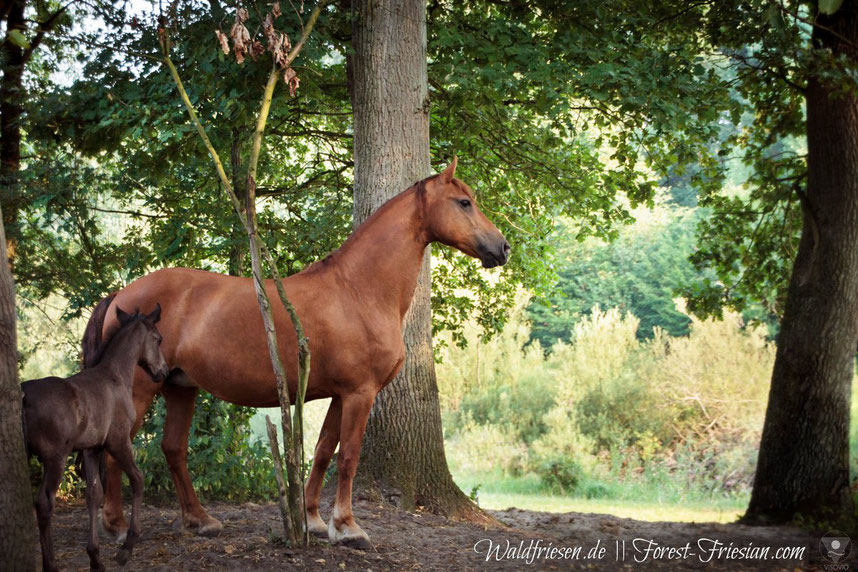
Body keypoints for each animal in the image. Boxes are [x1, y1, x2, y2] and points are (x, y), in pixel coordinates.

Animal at [22, 306, 168, 572]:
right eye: (158, 339)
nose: (163, 371)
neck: (115, 376)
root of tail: (24, 395)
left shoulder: (92, 449)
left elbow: (94, 494)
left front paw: (95, 558)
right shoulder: (119, 442)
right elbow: (137, 479)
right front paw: (126, 548)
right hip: (55, 458)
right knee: (45, 503)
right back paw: (51, 564)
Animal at [83, 159, 504, 548]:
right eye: (464, 202)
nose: (502, 247)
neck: (358, 290)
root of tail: (120, 296)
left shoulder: (340, 394)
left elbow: (322, 451)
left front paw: (314, 520)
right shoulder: (360, 393)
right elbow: (348, 455)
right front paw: (347, 527)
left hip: (179, 387)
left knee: (173, 449)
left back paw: (200, 520)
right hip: (140, 391)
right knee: (116, 452)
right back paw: (116, 526)